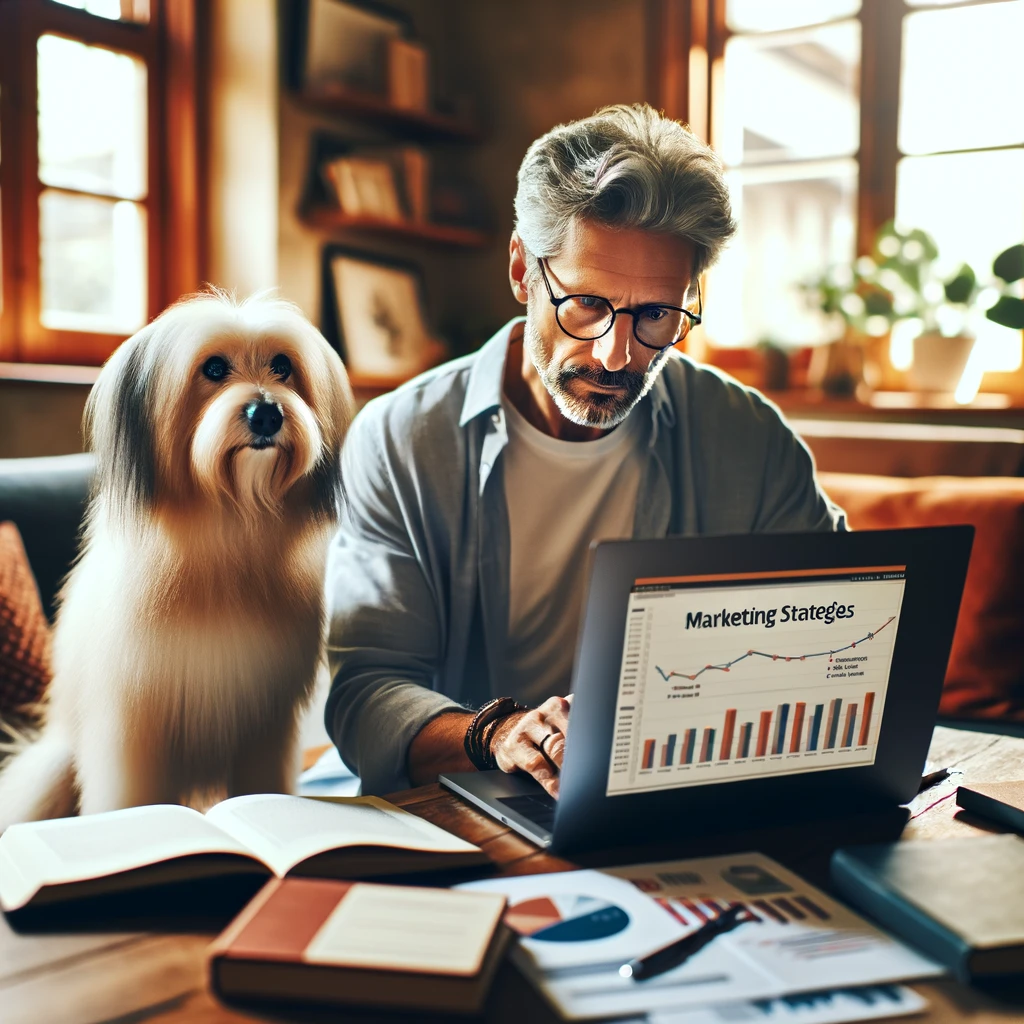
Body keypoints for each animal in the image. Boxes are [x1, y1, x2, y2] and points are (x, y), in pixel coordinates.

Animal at [0, 290, 354, 831]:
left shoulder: (264, 721)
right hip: (57, 768)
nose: (266, 414)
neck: (228, 532)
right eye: (214, 367)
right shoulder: (134, 723)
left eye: (282, 365)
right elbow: (131, 798)